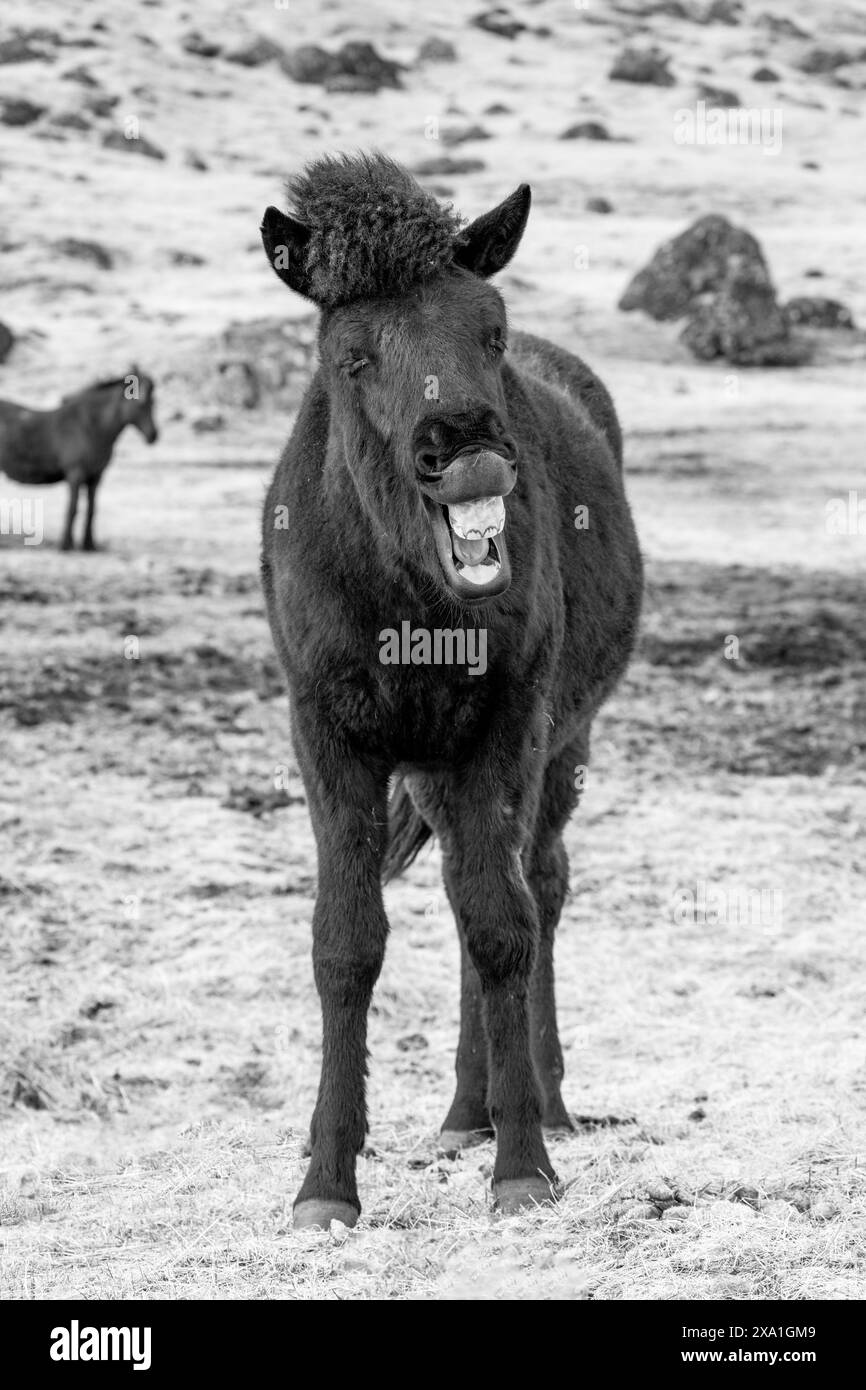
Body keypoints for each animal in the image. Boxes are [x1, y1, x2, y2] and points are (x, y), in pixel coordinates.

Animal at [0, 369, 159, 550]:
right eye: (141, 404)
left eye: (154, 402)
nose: (154, 435)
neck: (90, 427)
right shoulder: (75, 473)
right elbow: (73, 509)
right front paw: (65, 544)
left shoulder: (95, 477)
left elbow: (91, 509)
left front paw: (89, 544)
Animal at [260, 153, 643, 1229]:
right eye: (351, 357)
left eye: (491, 331)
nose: (467, 452)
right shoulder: (330, 739)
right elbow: (346, 943)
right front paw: (326, 1182)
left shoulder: (504, 729)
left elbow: (501, 926)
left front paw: (522, 1165)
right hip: (434, 769)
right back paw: (462, 1115)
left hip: (557, 748)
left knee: (534, 888)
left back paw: (539, 1106)